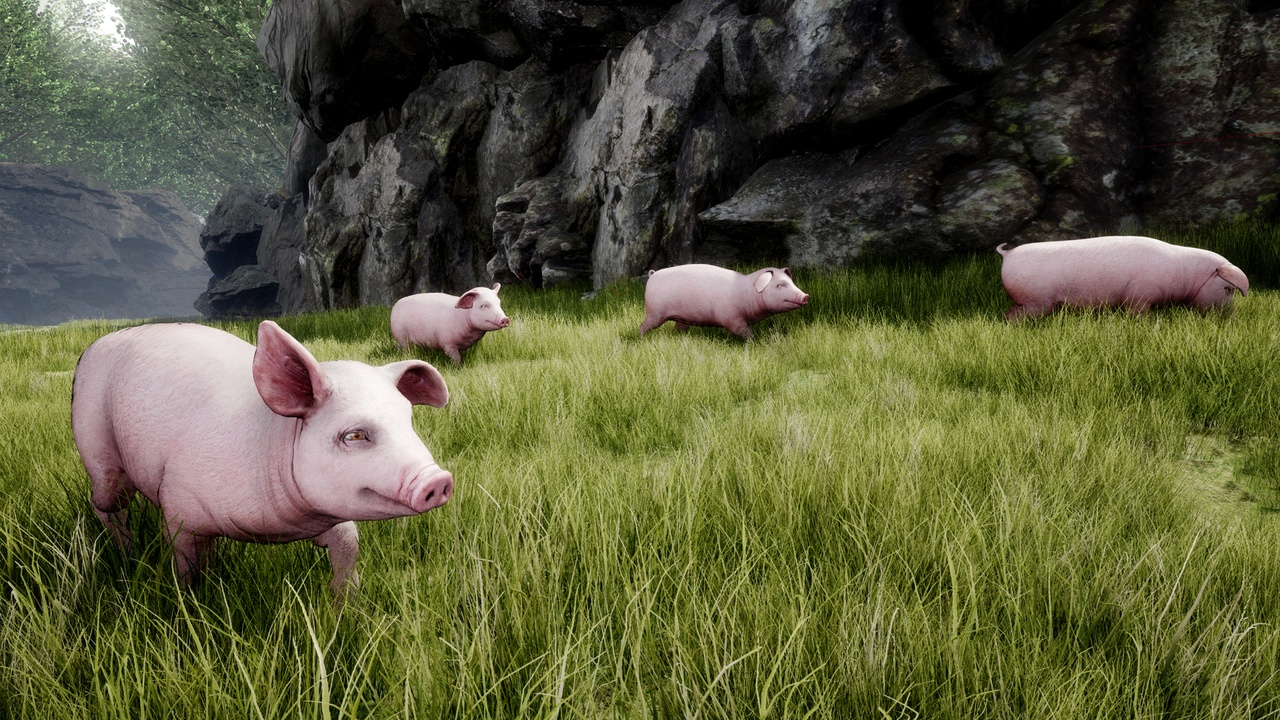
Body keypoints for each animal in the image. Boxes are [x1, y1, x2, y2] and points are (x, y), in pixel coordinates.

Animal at [71, 320, 453, 597]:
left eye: (408, 419)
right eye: (354, 436)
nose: (438, 479)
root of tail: (93, 347)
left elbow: (348, 542)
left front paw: (345, 600)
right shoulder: (180, 504)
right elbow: (186, 560)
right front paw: (192, 600)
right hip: (96, 443)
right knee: (105, 503)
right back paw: (126, 552)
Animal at [639, 264, 810, 340]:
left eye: (791, 282)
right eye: (780, 285)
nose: (806, 296)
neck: (746, 294)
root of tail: (652, 274)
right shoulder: (732, 317)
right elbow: (743, 331)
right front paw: (753, 341)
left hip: (682, 318)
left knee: (679, 328)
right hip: (655, 312)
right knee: (643, 326)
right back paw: (639, 338)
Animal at [997, 235, 1249, 321]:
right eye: (1228, 289)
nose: (1232, 315)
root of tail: (1007, 254)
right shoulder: (1139, 296)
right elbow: (1138, 314)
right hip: (1035, 301)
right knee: (1011, 316)